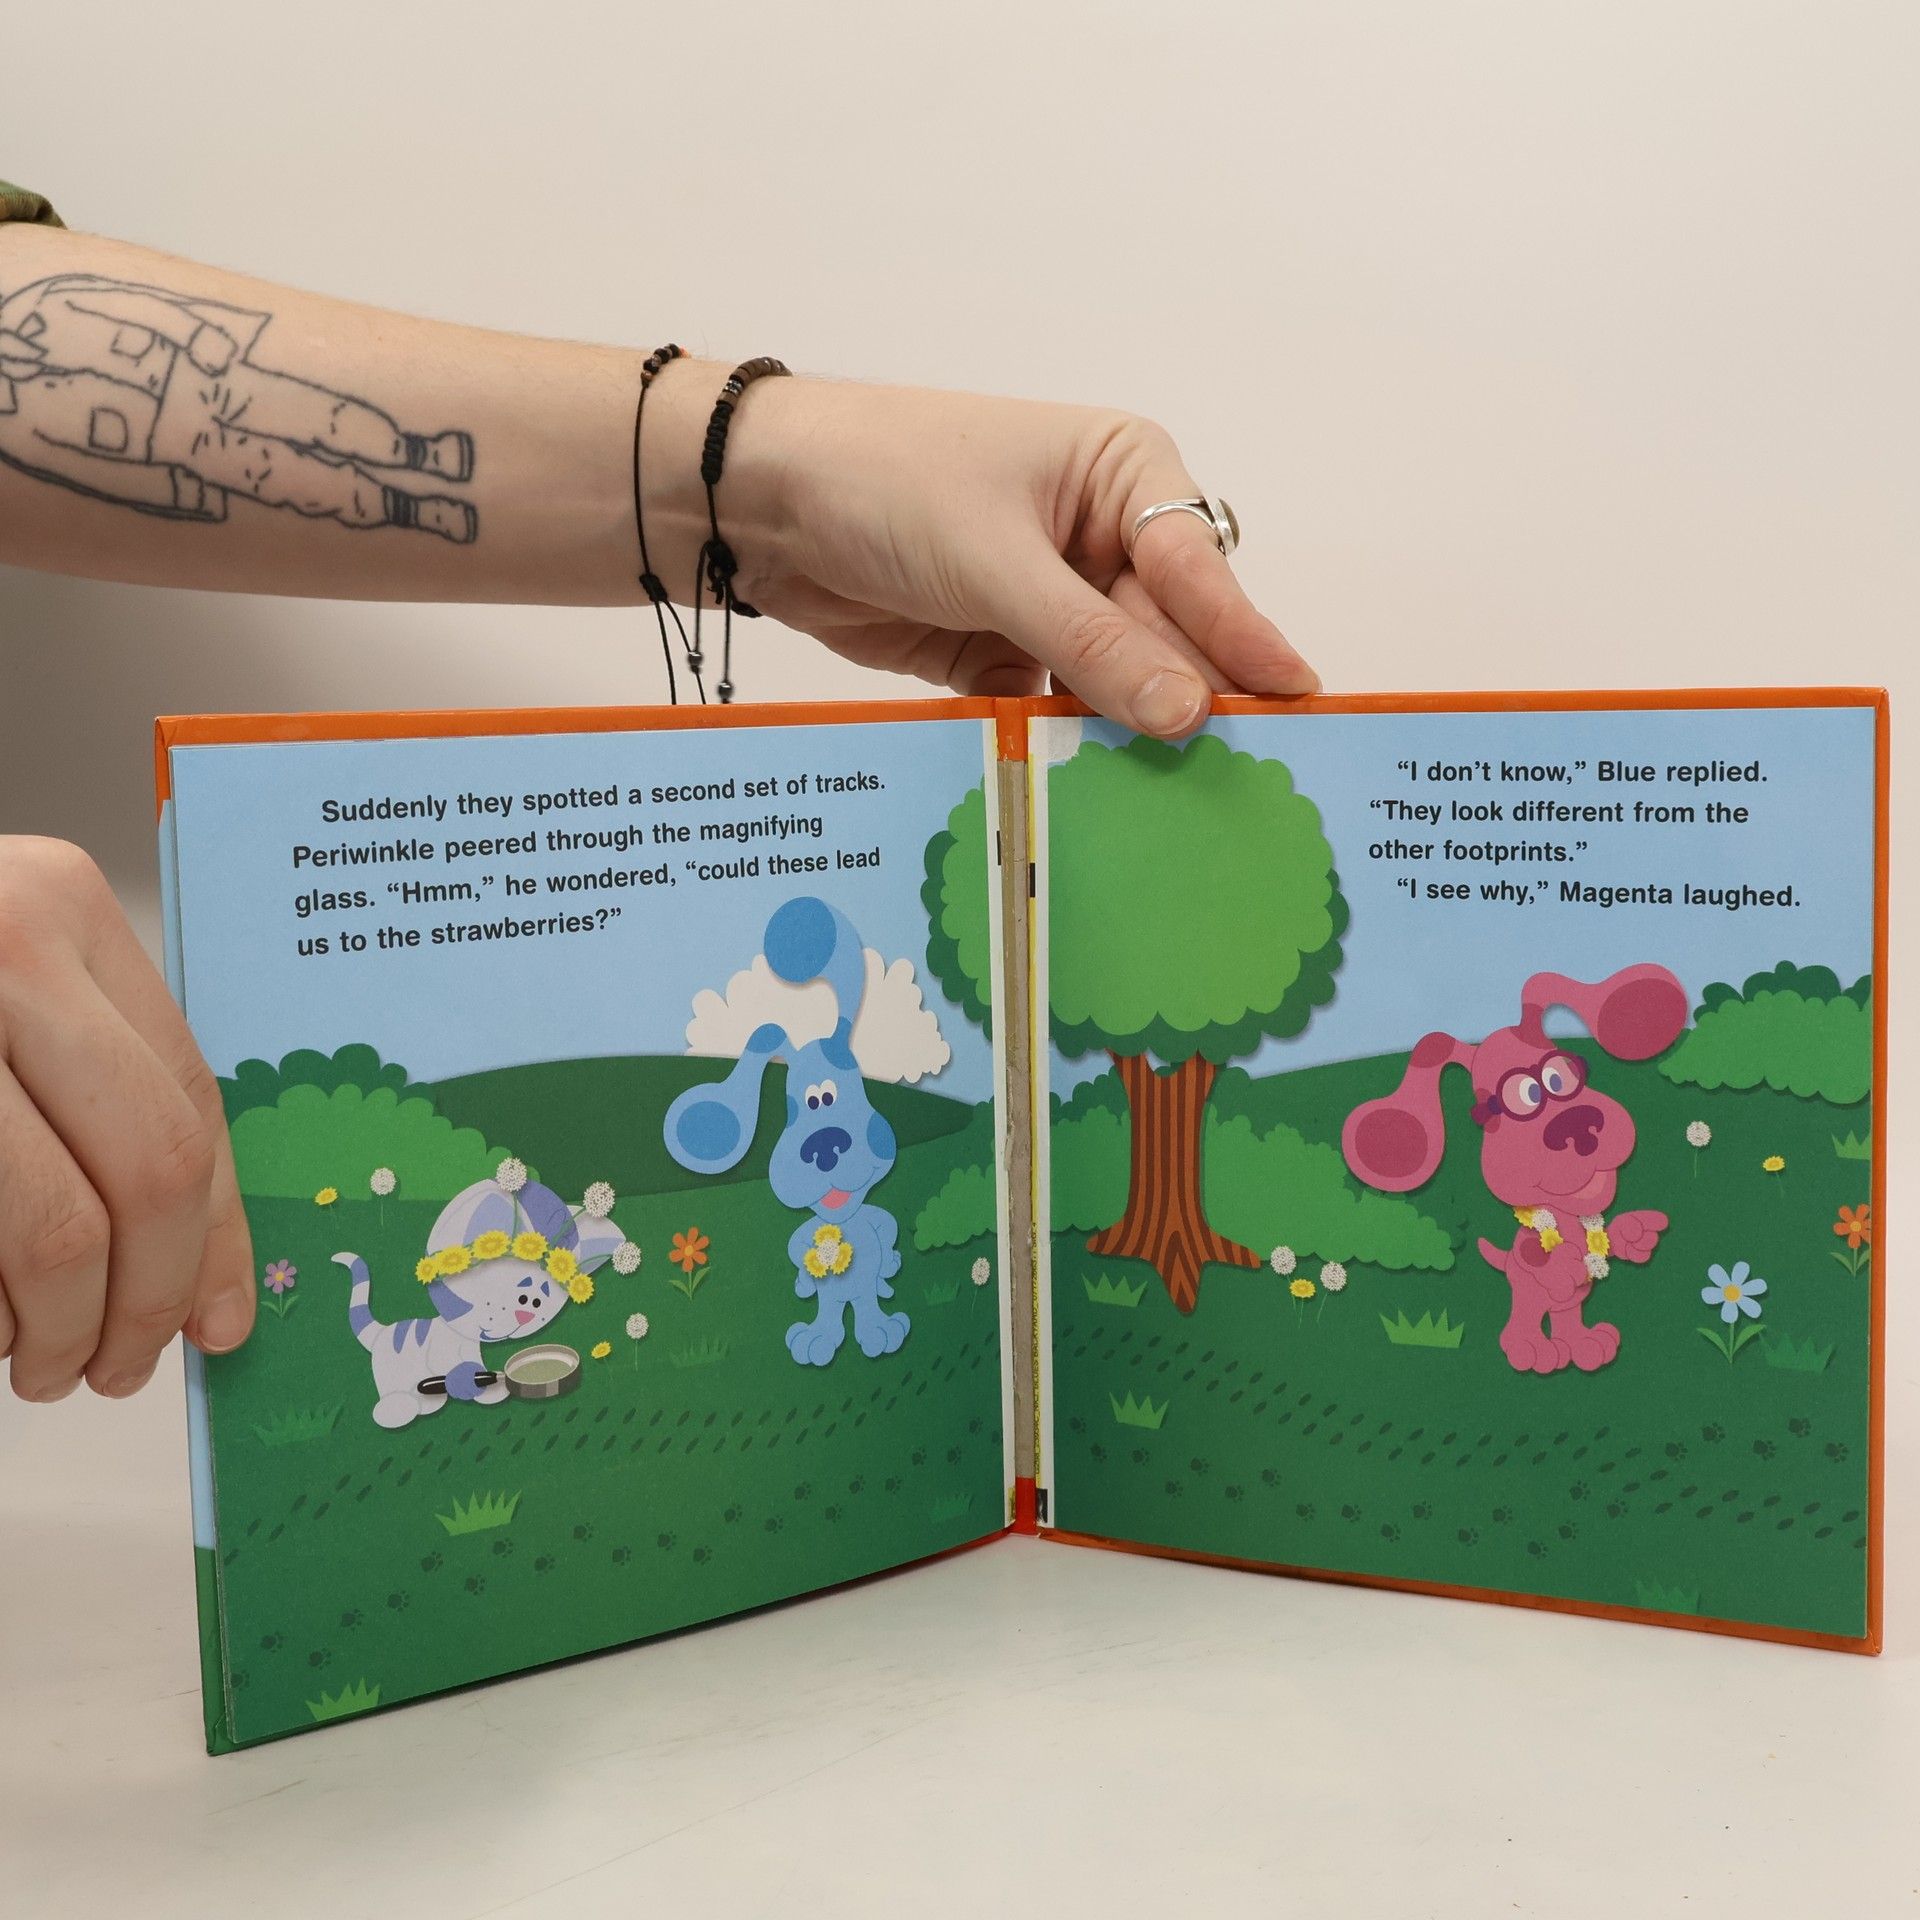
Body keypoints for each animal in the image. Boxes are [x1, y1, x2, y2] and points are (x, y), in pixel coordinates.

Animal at [663, 895, 909, 1367]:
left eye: (833, 1095)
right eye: (802, 1104)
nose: (823, 1146)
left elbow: (884, 1228)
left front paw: (888, 1266)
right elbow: (798, 1247)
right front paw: (804, 1284)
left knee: (865, 1305)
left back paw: (880, 1332)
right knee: (831, 1312)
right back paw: (816, 1339)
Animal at [1342, 965, 1687, 1374]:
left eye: (1561, 1076)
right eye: (1523, 1097)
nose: (1577, 1125)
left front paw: (1635, 1233)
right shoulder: (1530, 1253)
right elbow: (1539, 1257)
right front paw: (1560, 1266)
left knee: (1567, 1319)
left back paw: (1585, 1344)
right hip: (1524, 1293)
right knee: (1525, 1317)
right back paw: (1530, 1347)